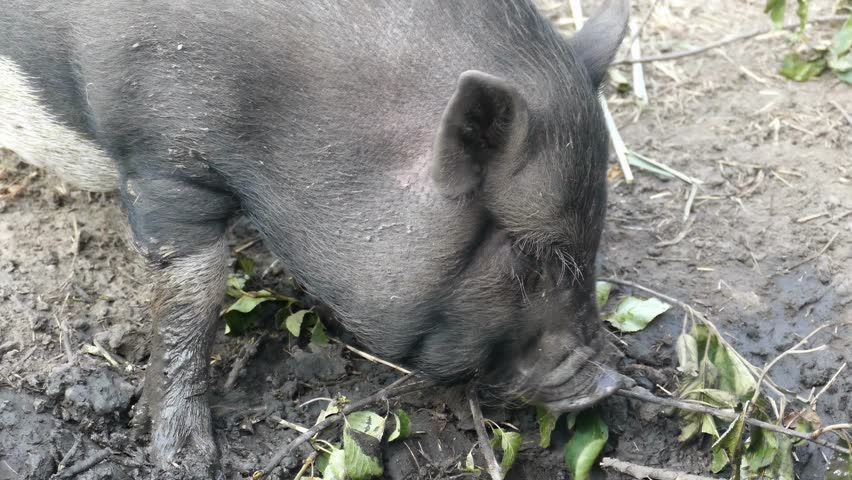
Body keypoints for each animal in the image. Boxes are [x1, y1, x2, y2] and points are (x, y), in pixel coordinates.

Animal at [1, 0, 629, 476]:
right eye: (529, 256)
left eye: (594, 240)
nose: (605, 381)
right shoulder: (162, 162)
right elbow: (192, 298)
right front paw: (189, 461)